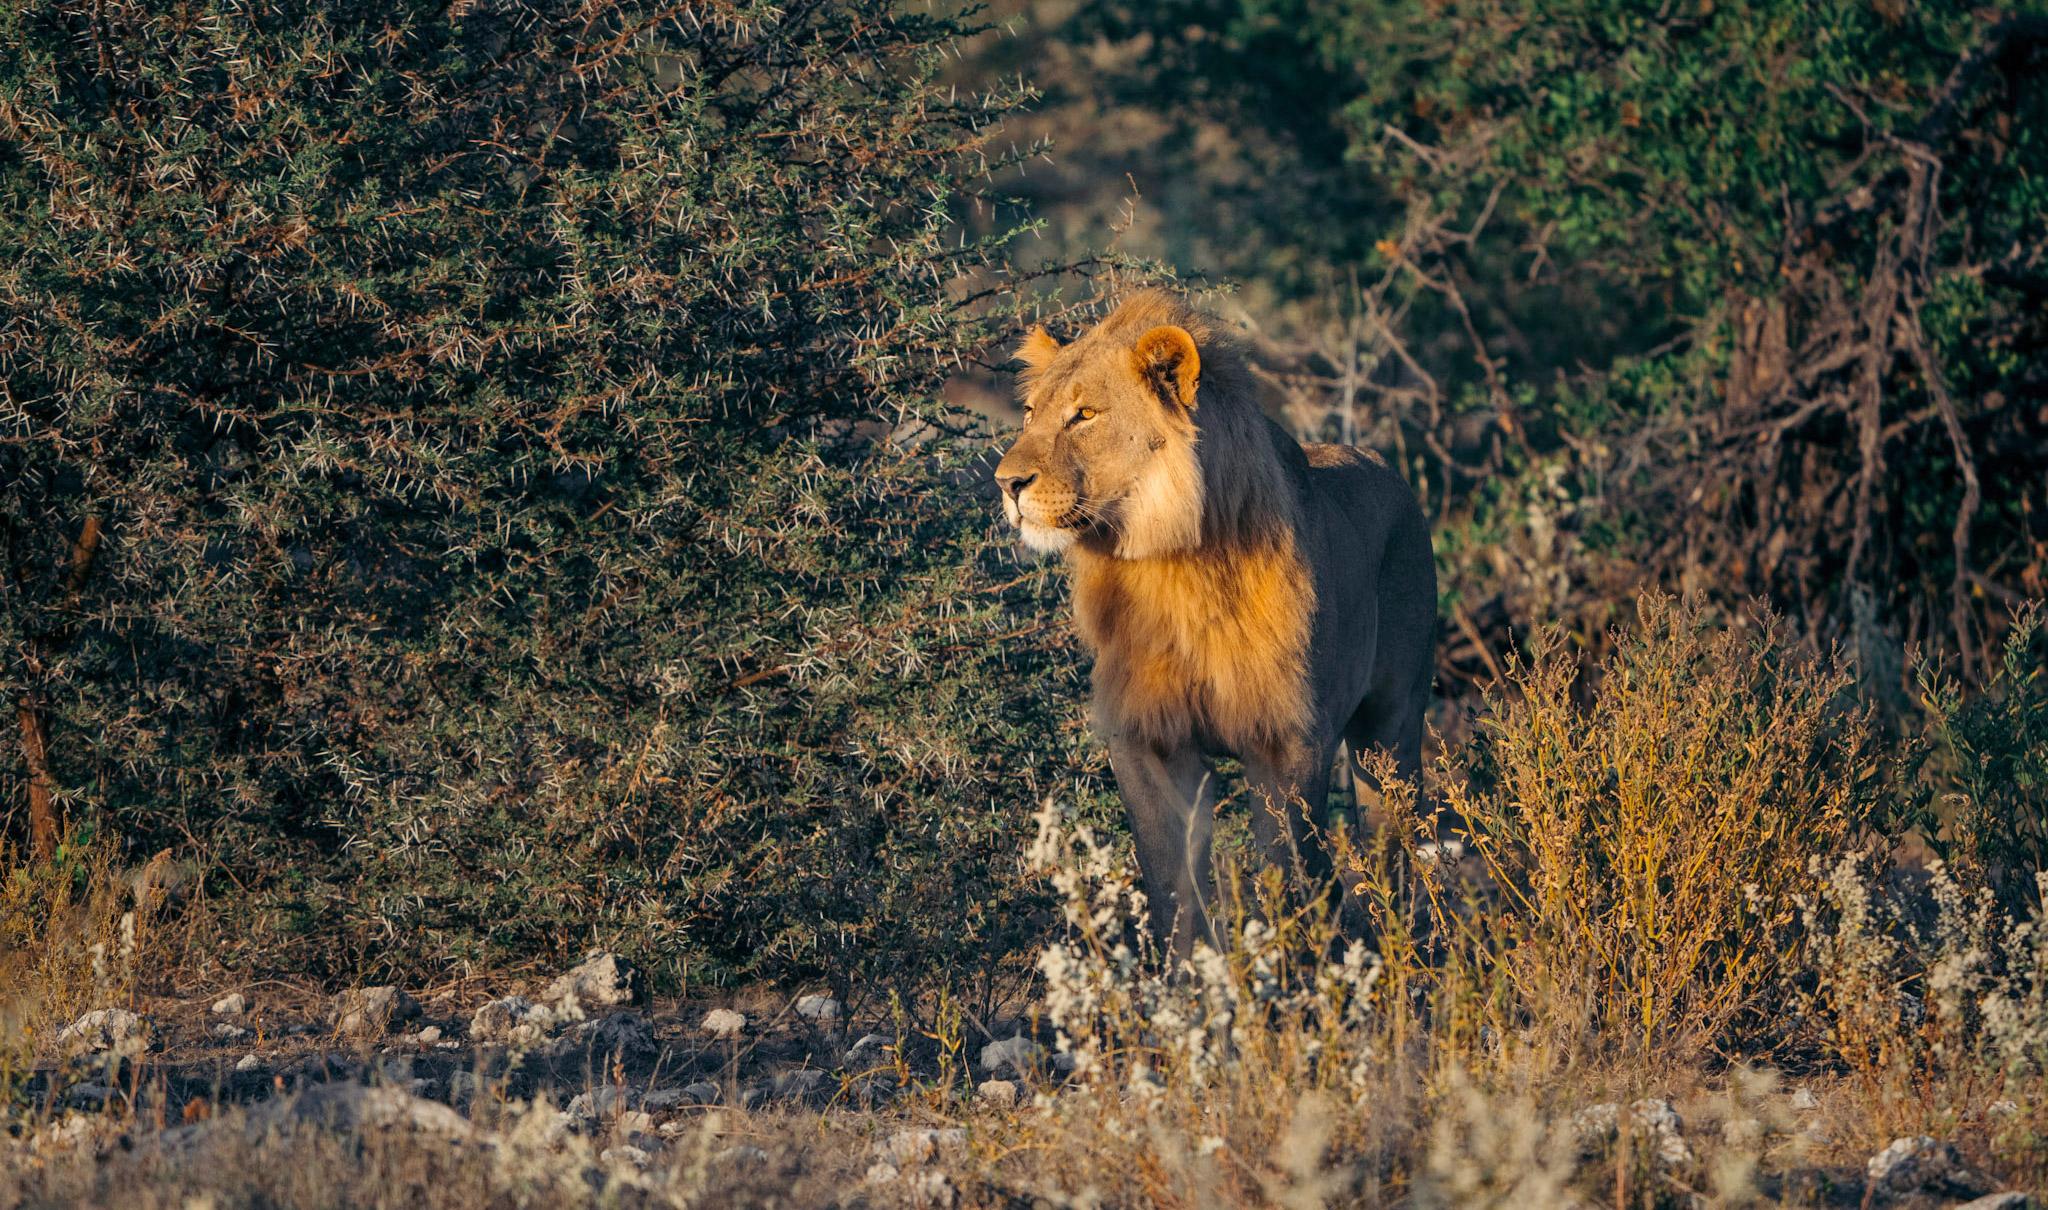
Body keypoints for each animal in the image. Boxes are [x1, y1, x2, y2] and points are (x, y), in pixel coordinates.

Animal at [994, 290, 1437, 955]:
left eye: (1085, 415)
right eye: (1028, 413)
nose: (1007, 483)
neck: (1167, 565)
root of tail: (1381, 460)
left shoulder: (1288, 739)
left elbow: (1289, 874)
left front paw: (1294, 972)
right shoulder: (1146, 738)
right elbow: (1172, 889)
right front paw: (1187, 979)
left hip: (1392, 727)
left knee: (1391, 848)